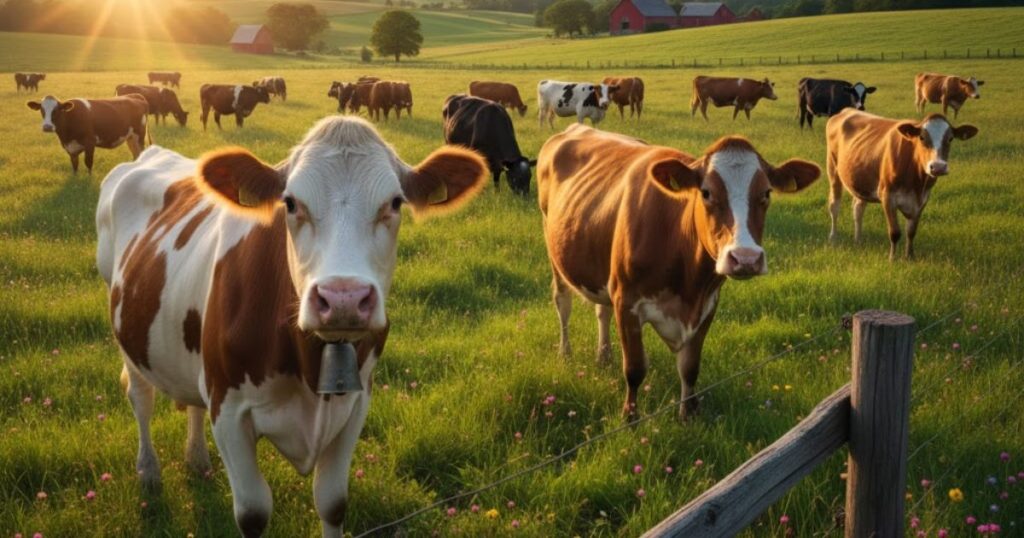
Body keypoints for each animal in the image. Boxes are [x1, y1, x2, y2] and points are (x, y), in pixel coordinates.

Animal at [95, 115, 488, 537]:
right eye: (291, 202)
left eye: (395, 203)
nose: (343, 299)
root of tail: (152, 152)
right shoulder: (228, 411)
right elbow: (253, 513)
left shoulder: (356, 404)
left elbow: (332, 503)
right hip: (128, 332)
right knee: (141, 397)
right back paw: (149, 472)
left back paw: (197, 459)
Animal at [538, 124, 820, 419]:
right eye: (705, 193)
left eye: (766, 193)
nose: (745, 257)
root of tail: (578, 127)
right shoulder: (627, 301)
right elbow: (635, 370)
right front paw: (630, 417)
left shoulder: (707, 303)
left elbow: (690, 367)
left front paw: (687, 414)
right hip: (554, 249)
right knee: (563, 303)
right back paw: (565, 354)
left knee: (601, 310)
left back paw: (604, 357)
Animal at [826, 109, 978, 260]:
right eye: (921, 137)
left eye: (950, 138)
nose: (938, 167)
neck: (916, 182)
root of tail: (847, 110)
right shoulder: (887, 196)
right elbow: (895, 232)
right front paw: (892, 259)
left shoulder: (922, 199)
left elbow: (911, 231)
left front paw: (909, 256)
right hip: (833, 170)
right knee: (834, 206)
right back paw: (833, 237)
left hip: (860, 181)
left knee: (858, 209)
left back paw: (858, 240)